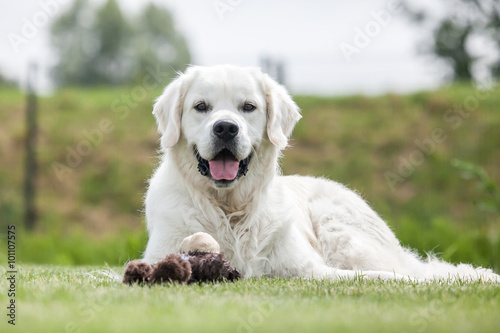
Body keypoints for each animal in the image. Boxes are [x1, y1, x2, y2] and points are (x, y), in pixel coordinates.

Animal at [143, 64, 498, 280]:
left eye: (248, 107)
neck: (231, 209)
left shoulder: (310, 269)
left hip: (341, 234)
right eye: (201, 107)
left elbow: (379, 278)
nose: (226, 128)